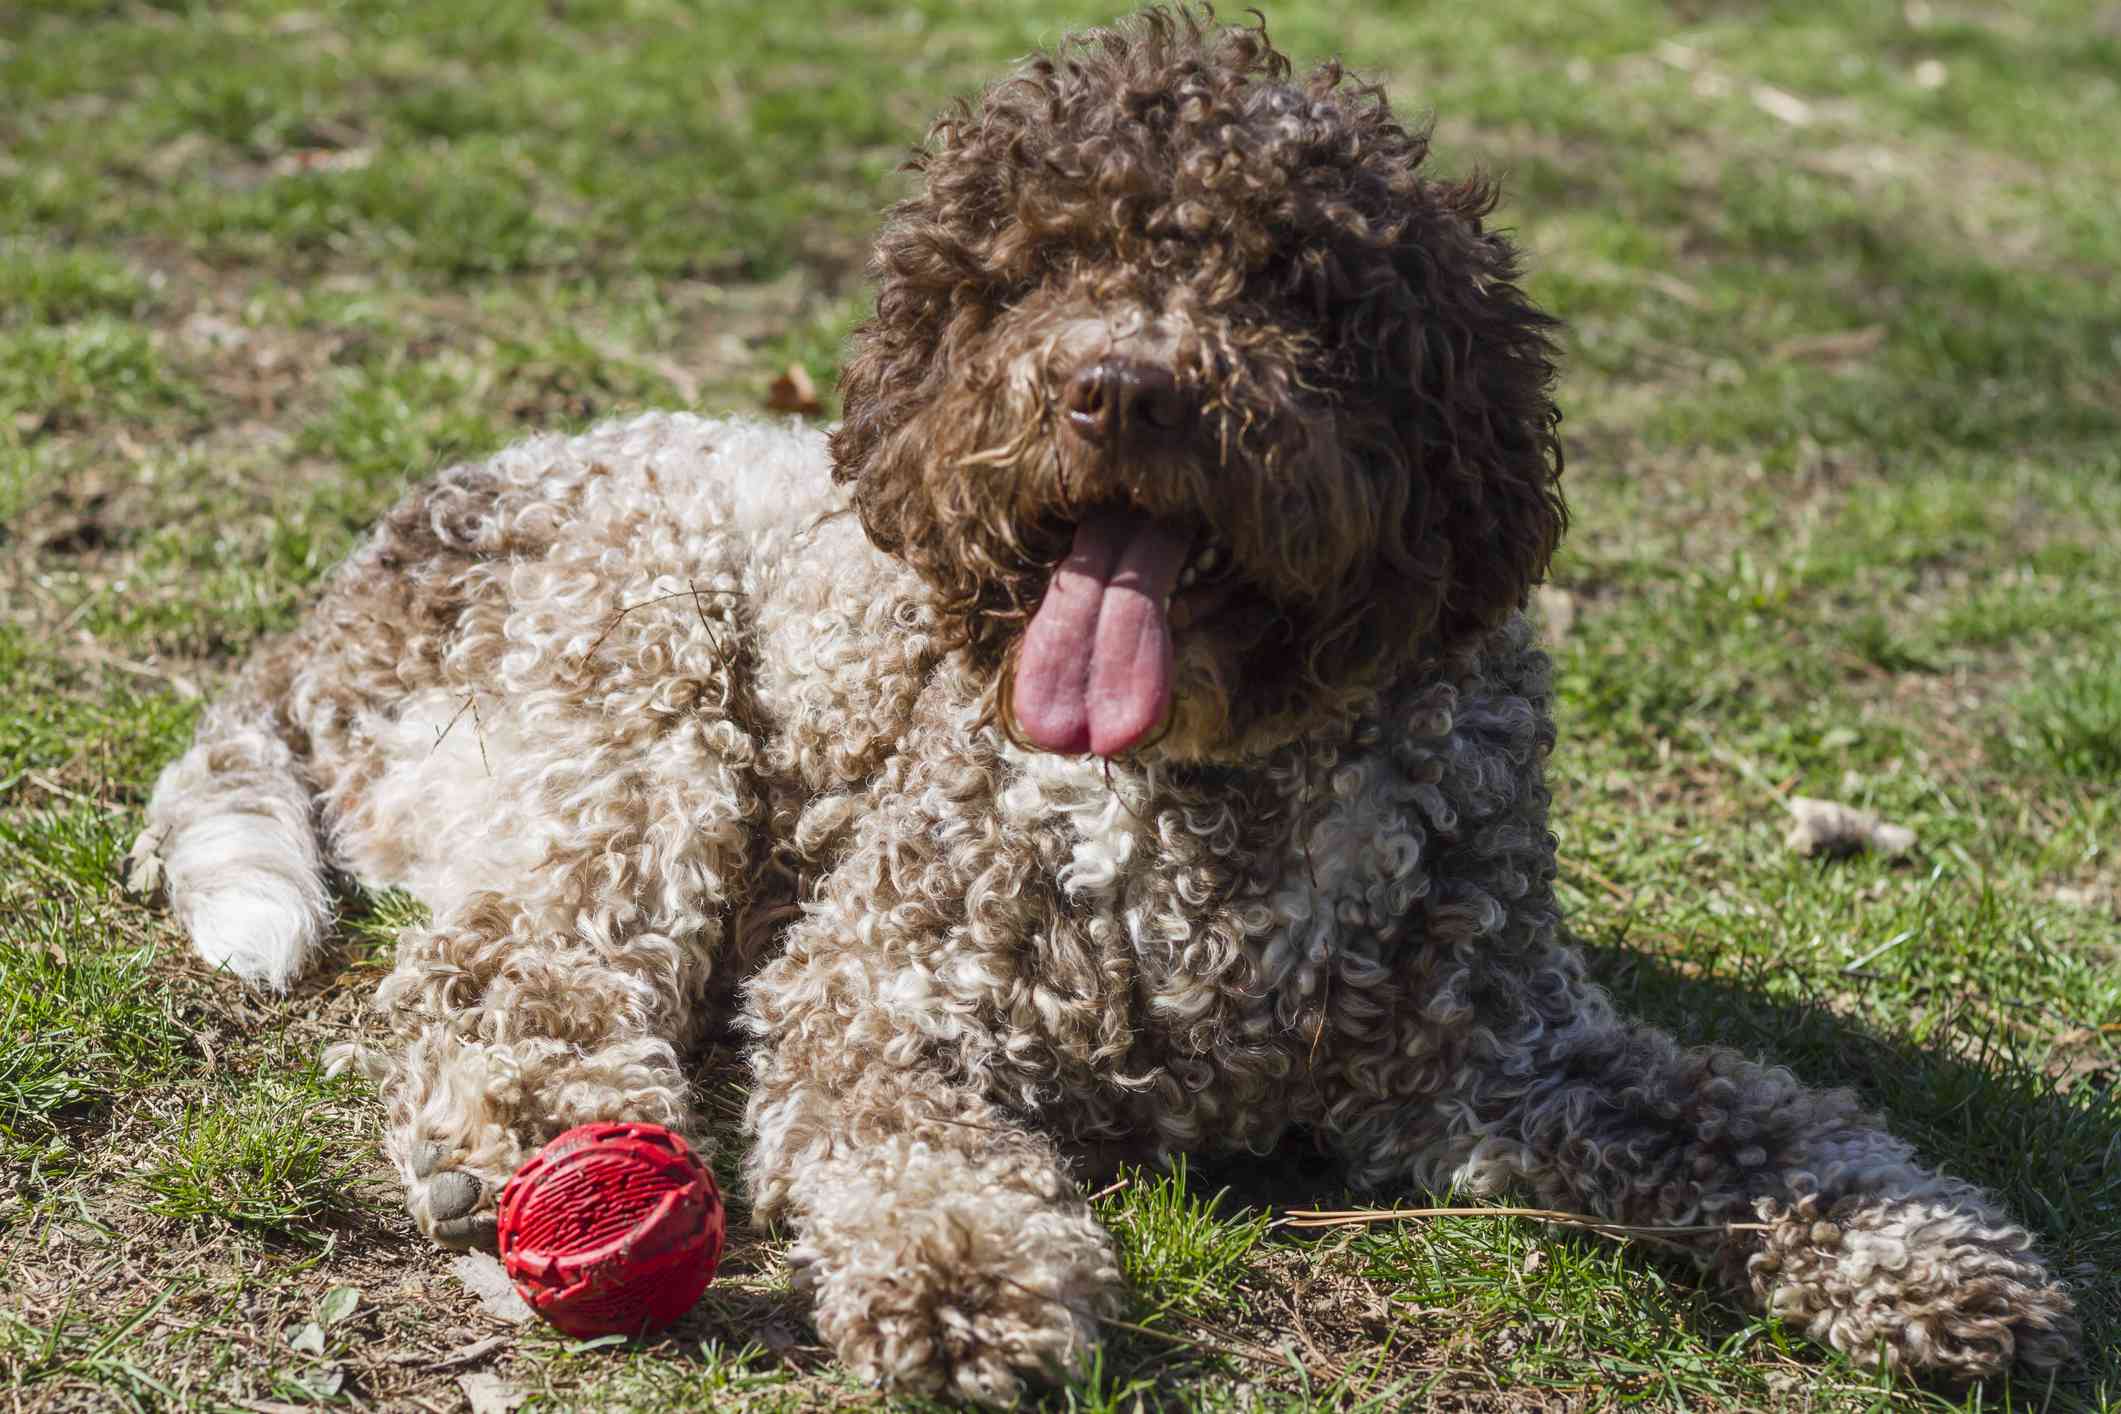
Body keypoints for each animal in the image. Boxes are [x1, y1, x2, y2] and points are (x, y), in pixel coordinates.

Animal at [132, 8, 2070, 1407]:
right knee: (506, 980)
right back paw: (544, 1140)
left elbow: (1761, 1121)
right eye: (1037, 270)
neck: (1213, 792)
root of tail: (341, 587)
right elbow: (910, 1150)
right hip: (642, 689)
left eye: (1292, 283)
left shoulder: (1508, 1056)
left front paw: (1935, 1258)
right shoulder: (878, 988)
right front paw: (964, 1281)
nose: (1123, 385)